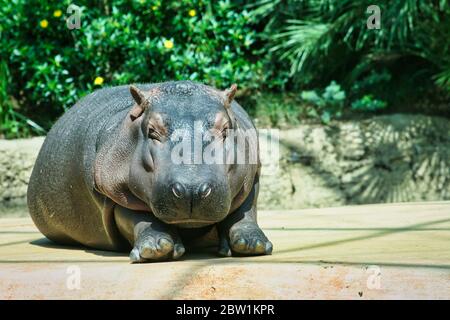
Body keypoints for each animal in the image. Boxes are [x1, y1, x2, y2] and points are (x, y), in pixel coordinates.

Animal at [29, 80, 274, 262]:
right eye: (152, 130)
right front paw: (156, 247)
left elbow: (244, 210)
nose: (191, 189)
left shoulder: (250, 178)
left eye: (224, 129)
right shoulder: (115, 191)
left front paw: (252, 244)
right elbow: (137, 217)